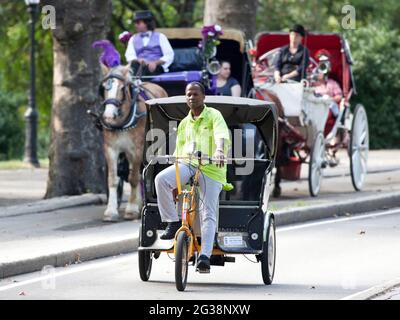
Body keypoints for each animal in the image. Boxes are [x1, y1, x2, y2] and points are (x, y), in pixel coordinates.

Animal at [100, 63, 169, 221]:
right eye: (104, 87)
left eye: (122, 88)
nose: (108, 116)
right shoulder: (110, 149)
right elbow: (113, 179)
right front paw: (111, 211)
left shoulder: (137, 148)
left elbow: (133, 178)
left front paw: (131, 209)